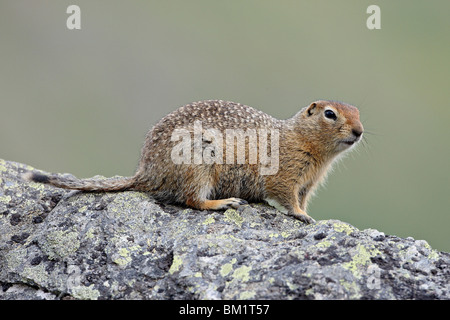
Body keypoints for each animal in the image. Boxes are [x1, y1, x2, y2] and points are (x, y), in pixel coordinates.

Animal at [24, 99, 364, 222]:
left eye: (359, 112)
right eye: (330, 114)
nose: (359, 131)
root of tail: (145, 172)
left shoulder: (308, 183)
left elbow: (302, 199)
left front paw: (308, 213)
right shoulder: (286, 175)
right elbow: (287, 198)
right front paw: (302, 216)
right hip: (199, 166)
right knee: (192, 200)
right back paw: (224, 202)